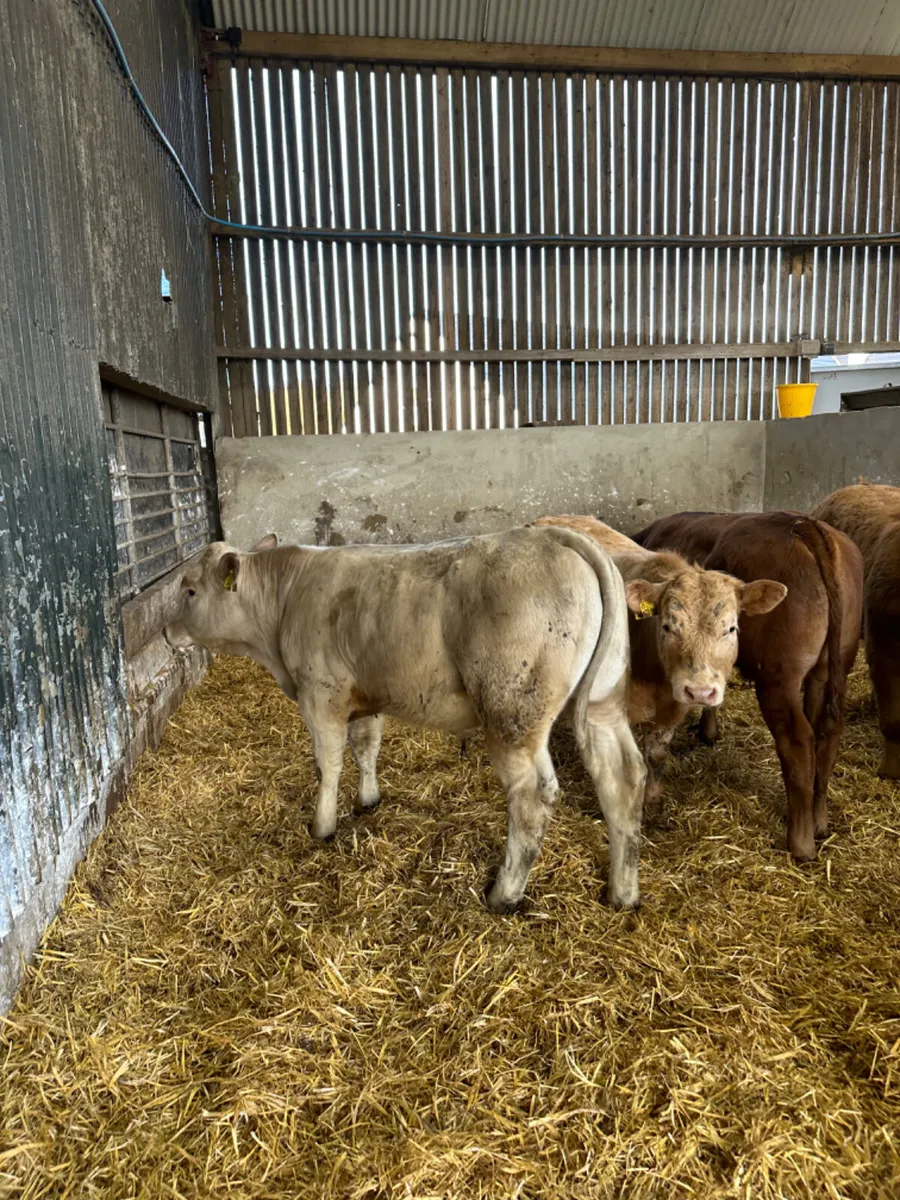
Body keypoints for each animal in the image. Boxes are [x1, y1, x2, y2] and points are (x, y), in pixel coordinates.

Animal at [165, 527, 646, 913]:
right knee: (623, 777)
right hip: (603, 701)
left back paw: (503, 894)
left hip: (511, 713)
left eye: (189, 591)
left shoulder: (320, 693)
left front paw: (322, 827)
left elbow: (327, 763)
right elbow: (366, 746)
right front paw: (368, 799)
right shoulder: (367, 694)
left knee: (532, 796)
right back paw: (622, 893)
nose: (167, 633)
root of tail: (554, 535)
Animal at [534, 515, 786, 816]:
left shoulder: (671, 711)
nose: (700, 692)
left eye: (731, 628)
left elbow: (656, 755)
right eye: (667, 626)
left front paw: (652, 800)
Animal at [634, 512, 864, 862]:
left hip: (778, 680)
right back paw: (819, 821)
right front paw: (709, 732)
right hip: (830, 668)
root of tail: (805, 524)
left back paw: (801, 842)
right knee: (826, 734)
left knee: (799, 742)